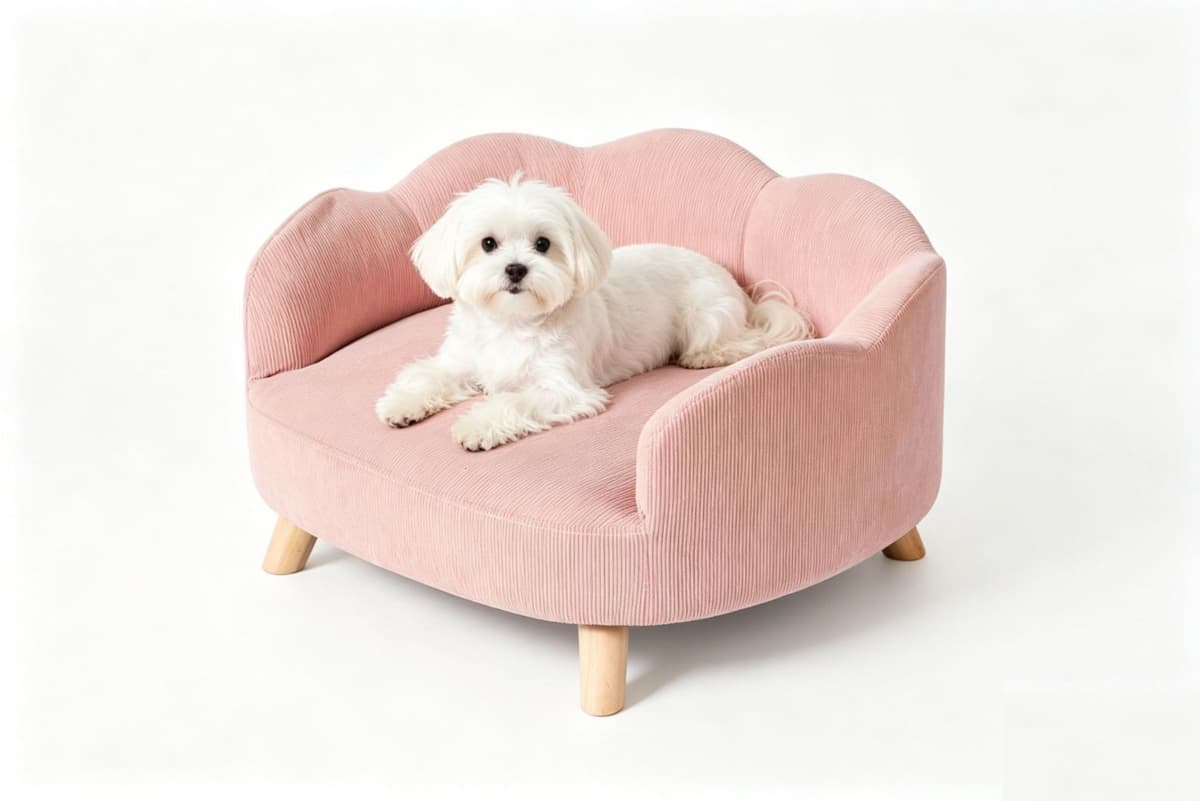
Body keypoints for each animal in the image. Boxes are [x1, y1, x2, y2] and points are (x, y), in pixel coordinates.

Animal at [375, 175, 813, 451]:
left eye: (543, 243)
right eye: (487, 243)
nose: (515, 269)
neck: (513, 323)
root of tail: (736, 286)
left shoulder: (562, 388)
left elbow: (512, 402)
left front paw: (476, 426)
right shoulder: (461, 361)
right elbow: (428, 374)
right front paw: (401, 405)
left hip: (705, 311)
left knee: (747, 341)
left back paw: (705, 356)